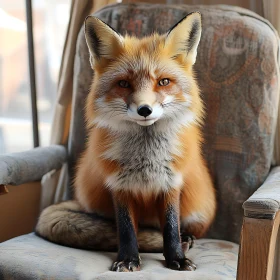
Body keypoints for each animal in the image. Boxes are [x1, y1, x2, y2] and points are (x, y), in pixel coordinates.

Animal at [35, 12, 217, 272]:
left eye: (163, 82)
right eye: (123, 84)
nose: (144, 110)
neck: (145, 159)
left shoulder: (171, 183)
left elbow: (172, 228)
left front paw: (177, 258)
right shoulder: (119, 186)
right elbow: (126, 229)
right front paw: (128, 259)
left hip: (198, 211)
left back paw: (188, 238)